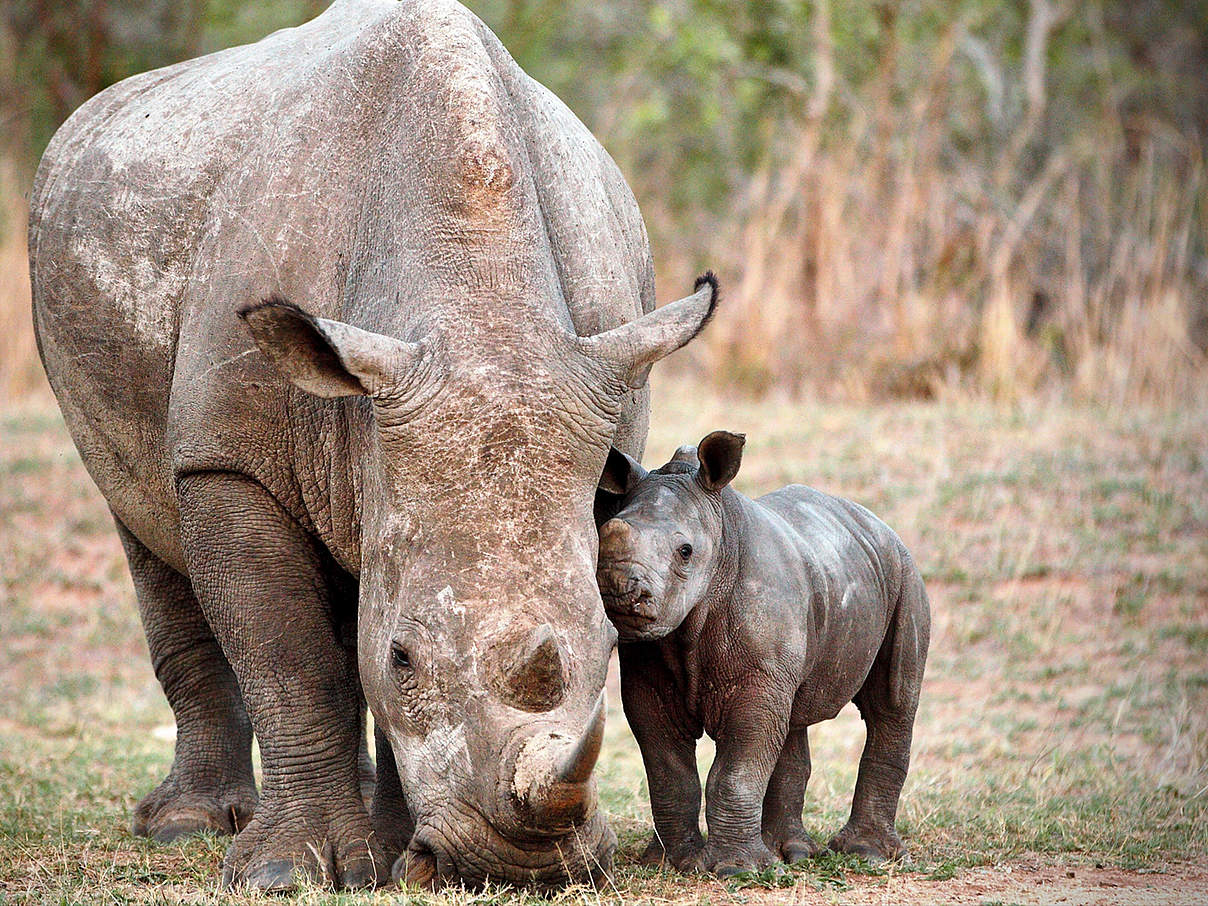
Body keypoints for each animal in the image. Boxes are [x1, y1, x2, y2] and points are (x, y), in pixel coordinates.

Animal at [599, 432, 927, 879]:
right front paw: (675, 863)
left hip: (905, 576)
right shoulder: (648, 677)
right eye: (603, 532)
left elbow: (737, 769)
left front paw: (737, 870)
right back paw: (793, 853)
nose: (619, 591)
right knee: (792, 717)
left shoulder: (758, 675)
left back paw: (866, 855)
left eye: (685, 551)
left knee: (892, 704)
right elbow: (669, 771)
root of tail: (880, 524)